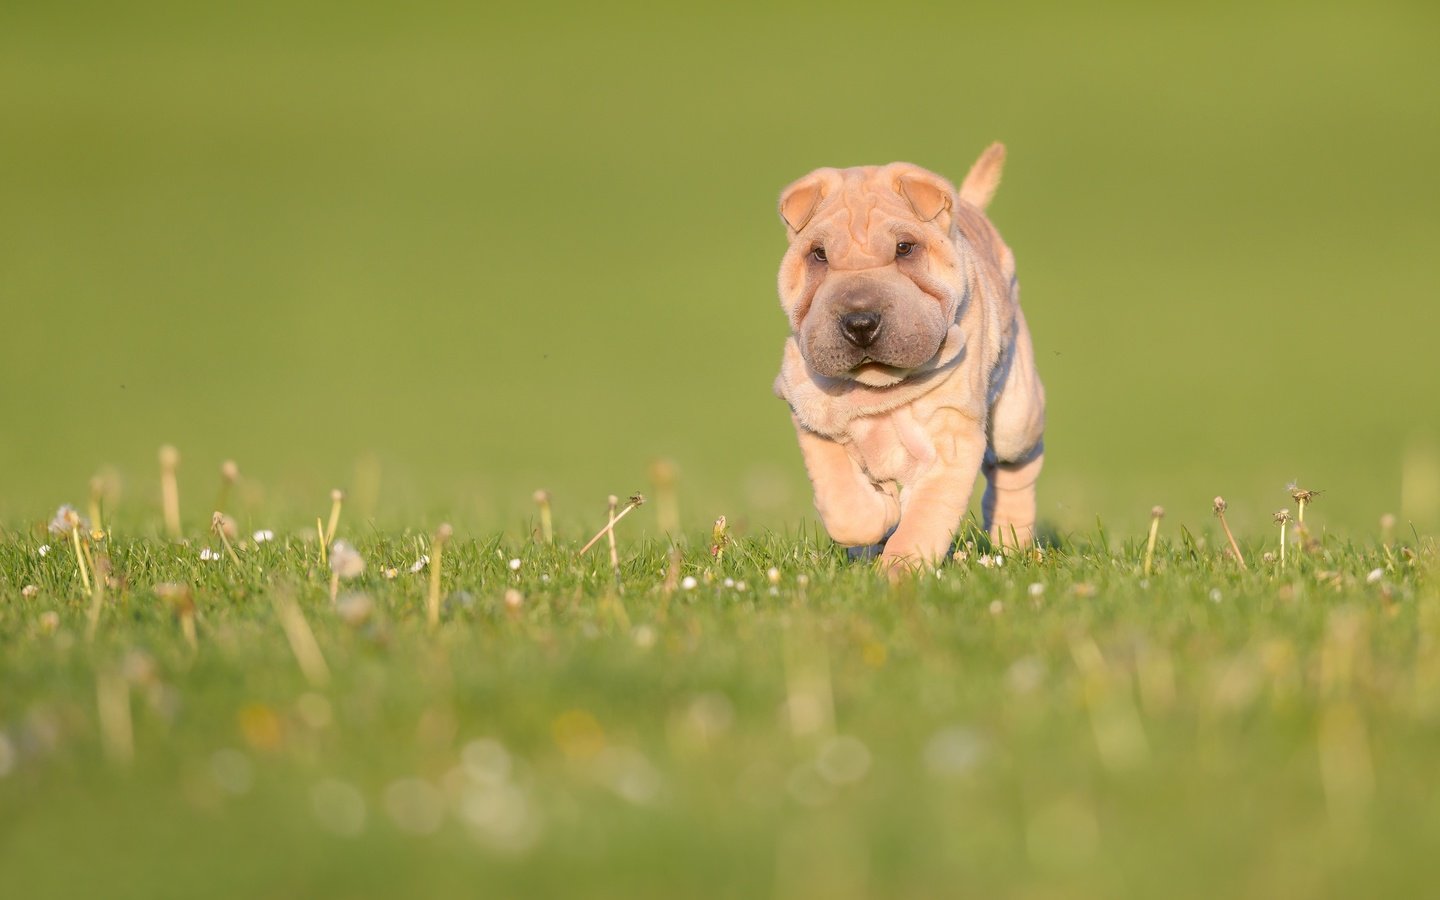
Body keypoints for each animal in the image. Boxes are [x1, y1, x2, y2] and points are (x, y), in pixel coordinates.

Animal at [777, 144, 1048, 573]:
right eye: (818, 255)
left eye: (905, 248)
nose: (860, 321)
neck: (878, 384)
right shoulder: (810, 412)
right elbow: (845, 502)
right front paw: (881, 511)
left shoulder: (952, 439)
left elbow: (924, 519)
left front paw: (899, 570)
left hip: (1017, 418)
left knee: (1016, 465)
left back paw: (1012, 542)